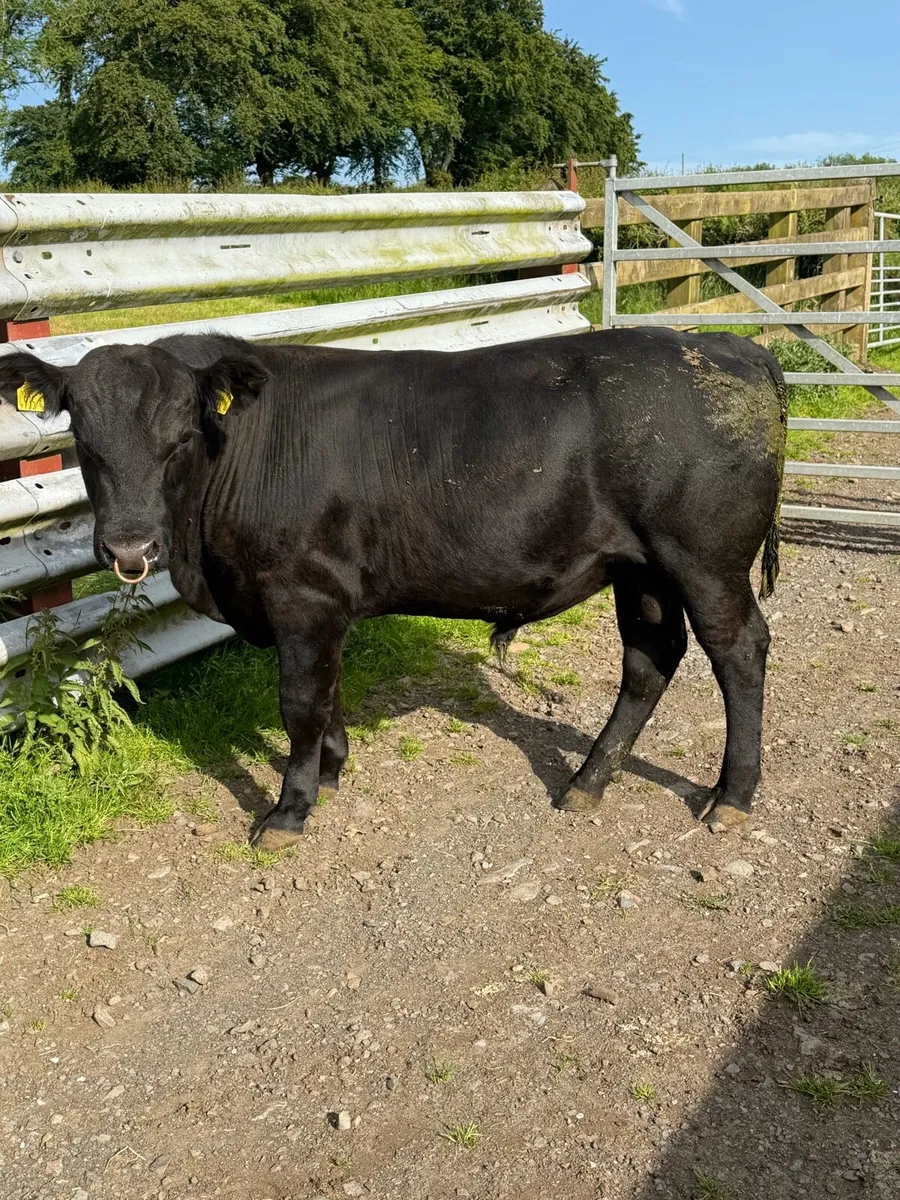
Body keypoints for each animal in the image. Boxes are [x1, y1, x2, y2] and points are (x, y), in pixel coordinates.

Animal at [0, 328, 786, 850]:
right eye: (85, 441)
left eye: (180, 439)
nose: (129, 547)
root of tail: (733, 347)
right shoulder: (320, 605)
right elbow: (327, 692)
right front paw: (332, 771)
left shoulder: (303, 594)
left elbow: (299, 702)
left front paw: (289, 810)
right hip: (641, 567)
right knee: (650, 657)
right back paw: (587, 783)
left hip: (703, 558)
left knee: (738, 650)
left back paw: (733, 795)